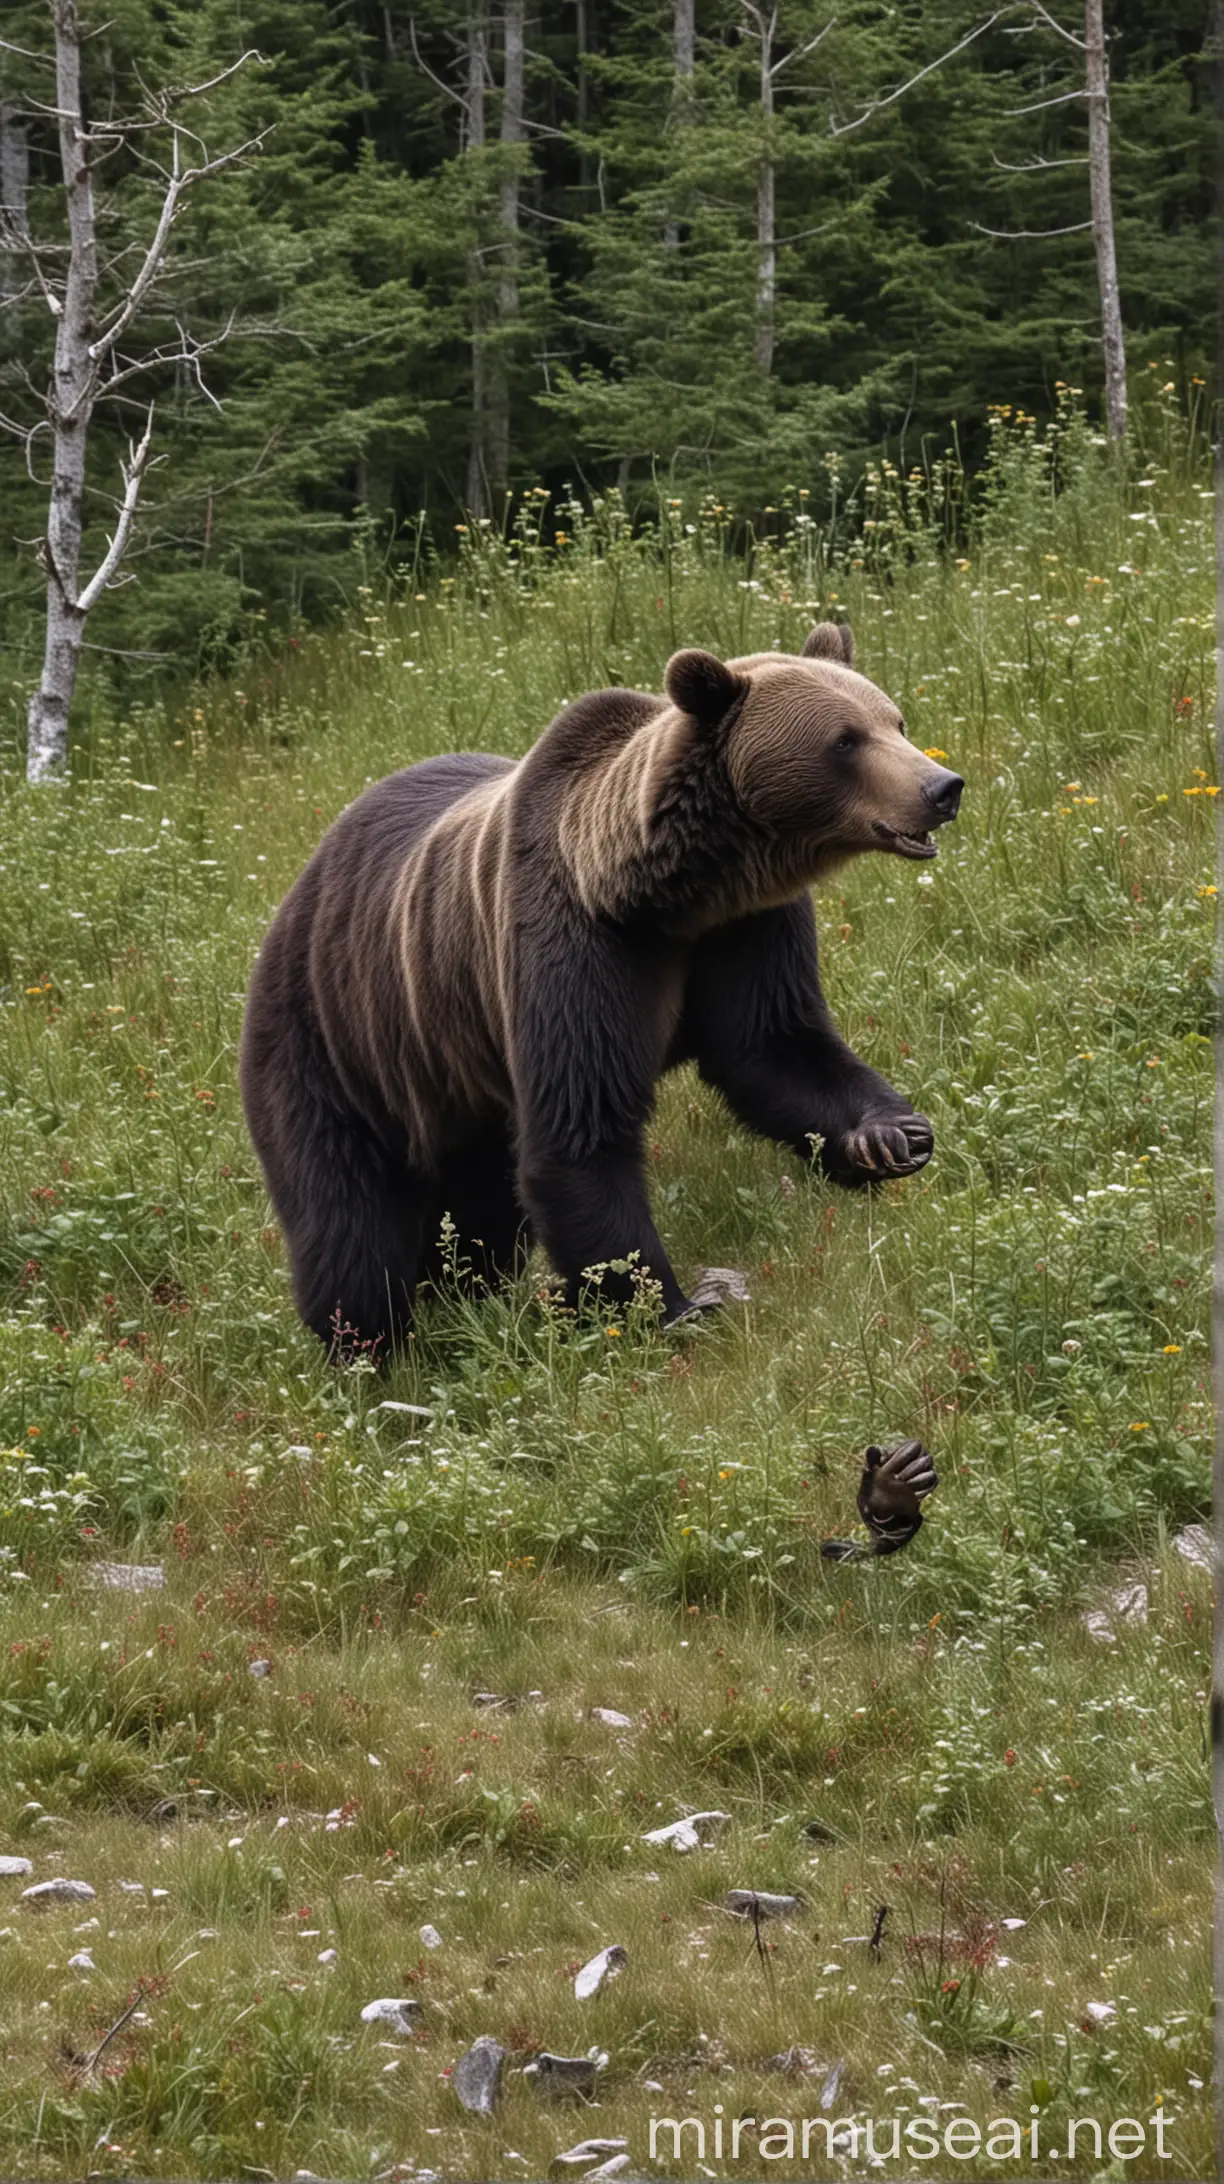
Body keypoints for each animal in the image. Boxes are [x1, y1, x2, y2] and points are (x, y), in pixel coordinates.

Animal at [239, 624, 961, 1354]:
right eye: (845, 739)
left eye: (895, 720)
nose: (941, 786)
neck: (673, 898)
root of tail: (301, 884)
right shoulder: (575, 946)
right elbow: (581, 1130)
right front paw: (666, 1305)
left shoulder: (745, 931)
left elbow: (774, 1046)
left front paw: (888, 1136)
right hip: (333, 1039)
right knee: (347, 1219)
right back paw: (369, 1344)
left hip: (454, 1070)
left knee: (477, 1199)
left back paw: (463, 1292)